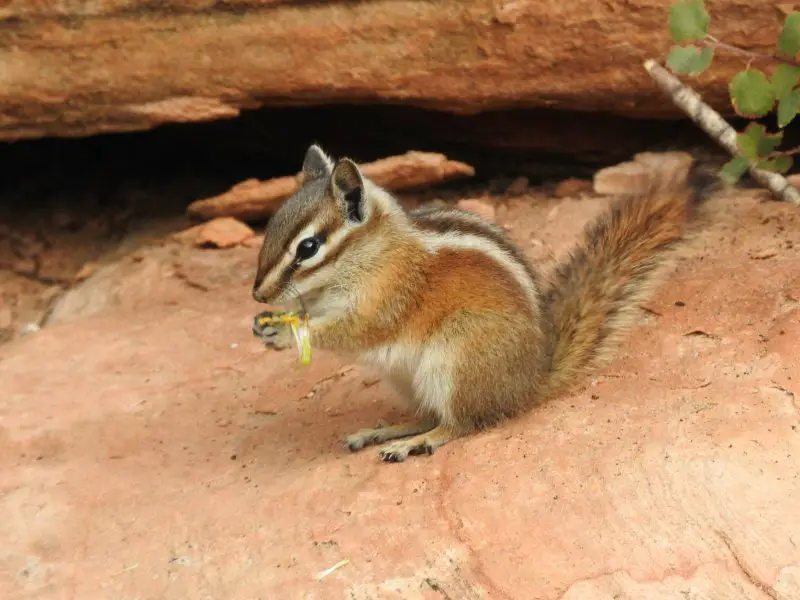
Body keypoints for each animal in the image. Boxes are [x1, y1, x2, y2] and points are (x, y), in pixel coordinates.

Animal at [252, 144, 710, 463]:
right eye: (271, 227)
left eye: (308, 247)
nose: (258, 294)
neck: (370, 254)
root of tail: (528, 384)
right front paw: (267, 321)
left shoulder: (389, 297)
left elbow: (353, 331)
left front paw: (286, 333)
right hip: (408, 378)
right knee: (429, 413)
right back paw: (384, 432)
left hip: (457, 357)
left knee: (460, 424)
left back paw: (416, 443)